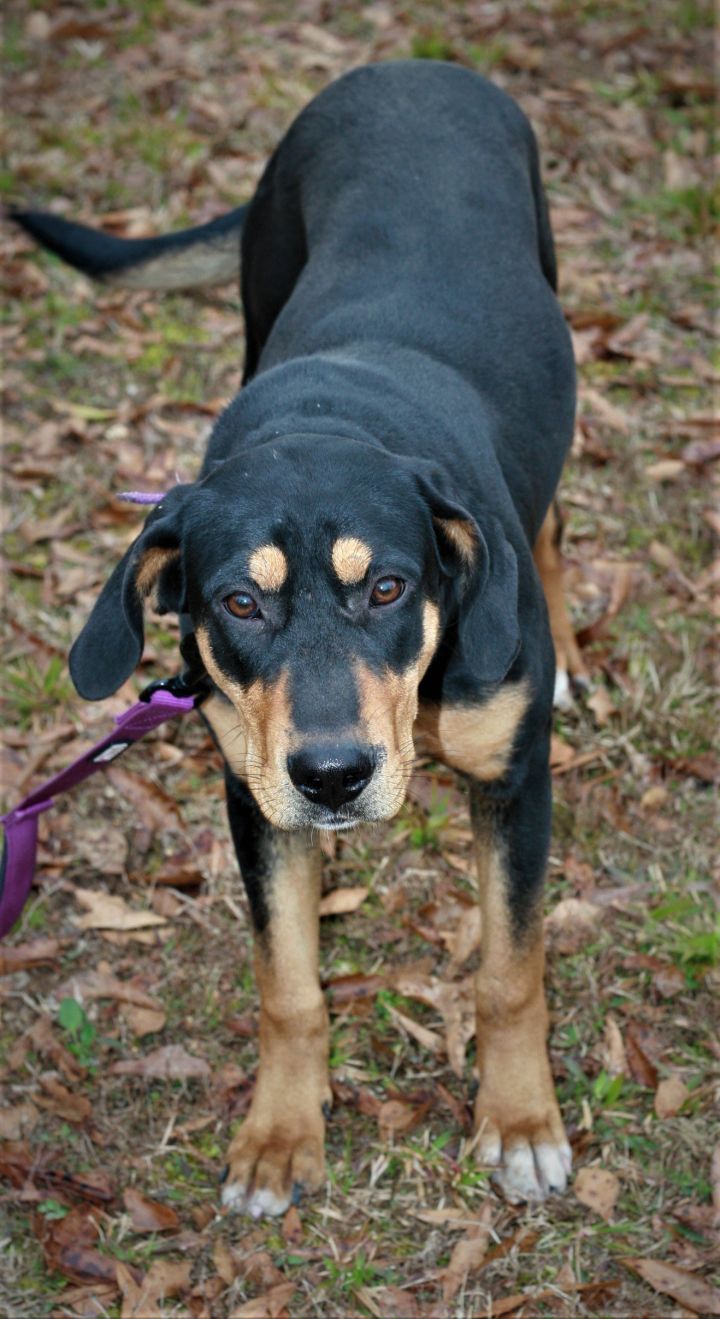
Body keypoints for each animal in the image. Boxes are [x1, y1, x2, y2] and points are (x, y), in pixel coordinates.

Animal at [14, 59, 585, 1213]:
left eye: (390, 587)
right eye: (239, 603)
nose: (332, 775)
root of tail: (405, 65)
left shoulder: (513, 787)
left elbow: (510, 971)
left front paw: (519, 1121)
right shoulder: (254, 796)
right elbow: (287, 982)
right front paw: (281, 1133)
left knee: (548, 520)